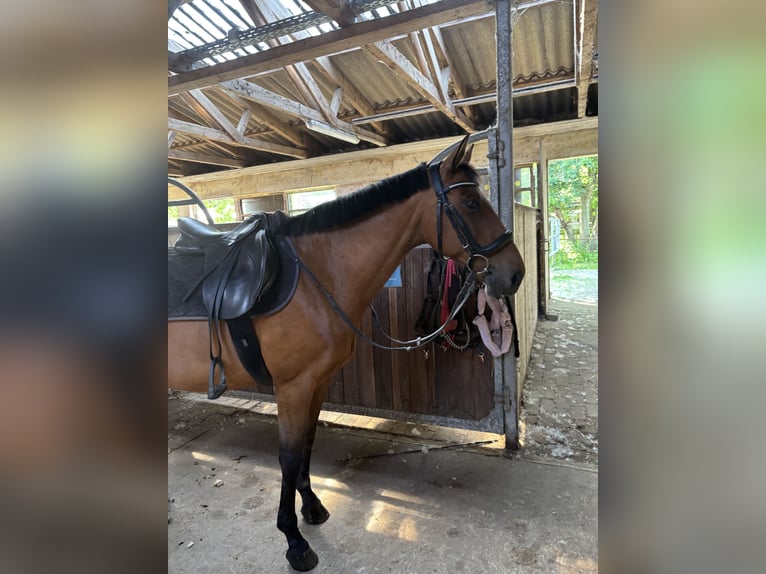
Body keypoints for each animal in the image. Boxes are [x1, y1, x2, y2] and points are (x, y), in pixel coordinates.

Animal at [167, 136, 525, 571]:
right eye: (471, 202)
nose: (515, 273)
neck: (316, 276)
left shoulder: (317, 385)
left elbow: (307, 445)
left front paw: (312, 508)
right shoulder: (292, 388)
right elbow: (289, 457)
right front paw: (294, 541)